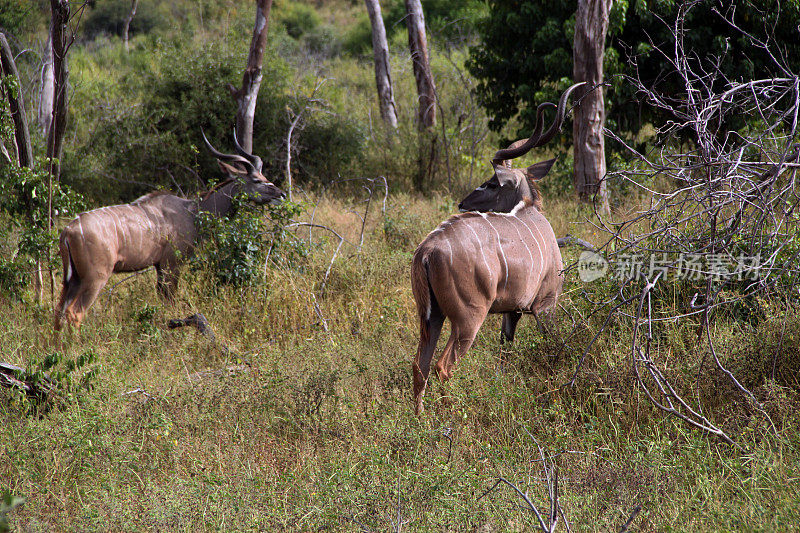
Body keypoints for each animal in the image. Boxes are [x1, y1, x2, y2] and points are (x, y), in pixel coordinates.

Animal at [54, 134, 284, 328]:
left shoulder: (159, 266)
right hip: (95, 277)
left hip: (73, 280)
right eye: (257, 180)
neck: (192, 212)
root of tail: (68, 231)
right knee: (75, 313)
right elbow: (170, 302)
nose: (280, 193)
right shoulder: (171, 264)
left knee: (59, 312)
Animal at [412, 84, 580, 416]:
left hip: (432, 317)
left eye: (491, 184)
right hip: (468, 318)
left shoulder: (511, 311)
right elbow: (552, 346)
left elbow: (505, 353)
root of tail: (427, 249)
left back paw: (418, 419)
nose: (463, 202)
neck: (530, 213)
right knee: (443, 366)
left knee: (419, 366)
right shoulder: (545, 305)